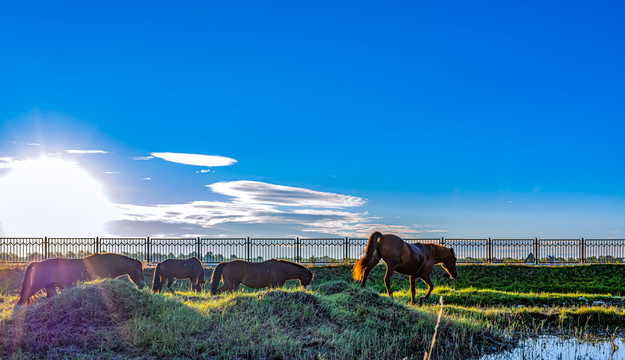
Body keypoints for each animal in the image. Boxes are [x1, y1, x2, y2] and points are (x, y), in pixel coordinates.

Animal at [16, 252, 146, 306]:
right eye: (139, 269)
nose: (143, 284)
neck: (108, 263)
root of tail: (38, 263)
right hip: (34, 287)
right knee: (20, 302)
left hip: (50, 288)